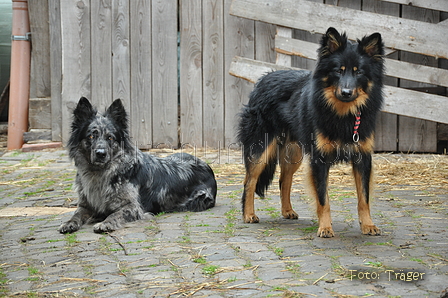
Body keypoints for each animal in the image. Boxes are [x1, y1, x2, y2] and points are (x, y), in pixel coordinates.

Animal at [58, 96, 217, 234]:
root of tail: (206, 166)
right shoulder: (85, 205)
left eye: (110, 138)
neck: (101, 173)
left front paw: (105, 223)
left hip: (200, 199)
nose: (100, 153)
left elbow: (115, 214)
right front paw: (69, 223)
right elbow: (76, 214)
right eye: (91, 136)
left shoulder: (133, 207)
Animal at [238, 27, 384, 237]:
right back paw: (249, 214)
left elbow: (364, 198)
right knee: (249, 181)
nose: (346, 92)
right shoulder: (319, 160)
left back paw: (287, 211)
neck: (343, 114)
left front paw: (368, 225)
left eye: (359, 72)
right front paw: (325, 227)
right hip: (261, 149)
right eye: (338, 71)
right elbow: (323, 199)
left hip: (294, 153)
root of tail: (263, 78)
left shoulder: (362, 158)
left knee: (284, 179)